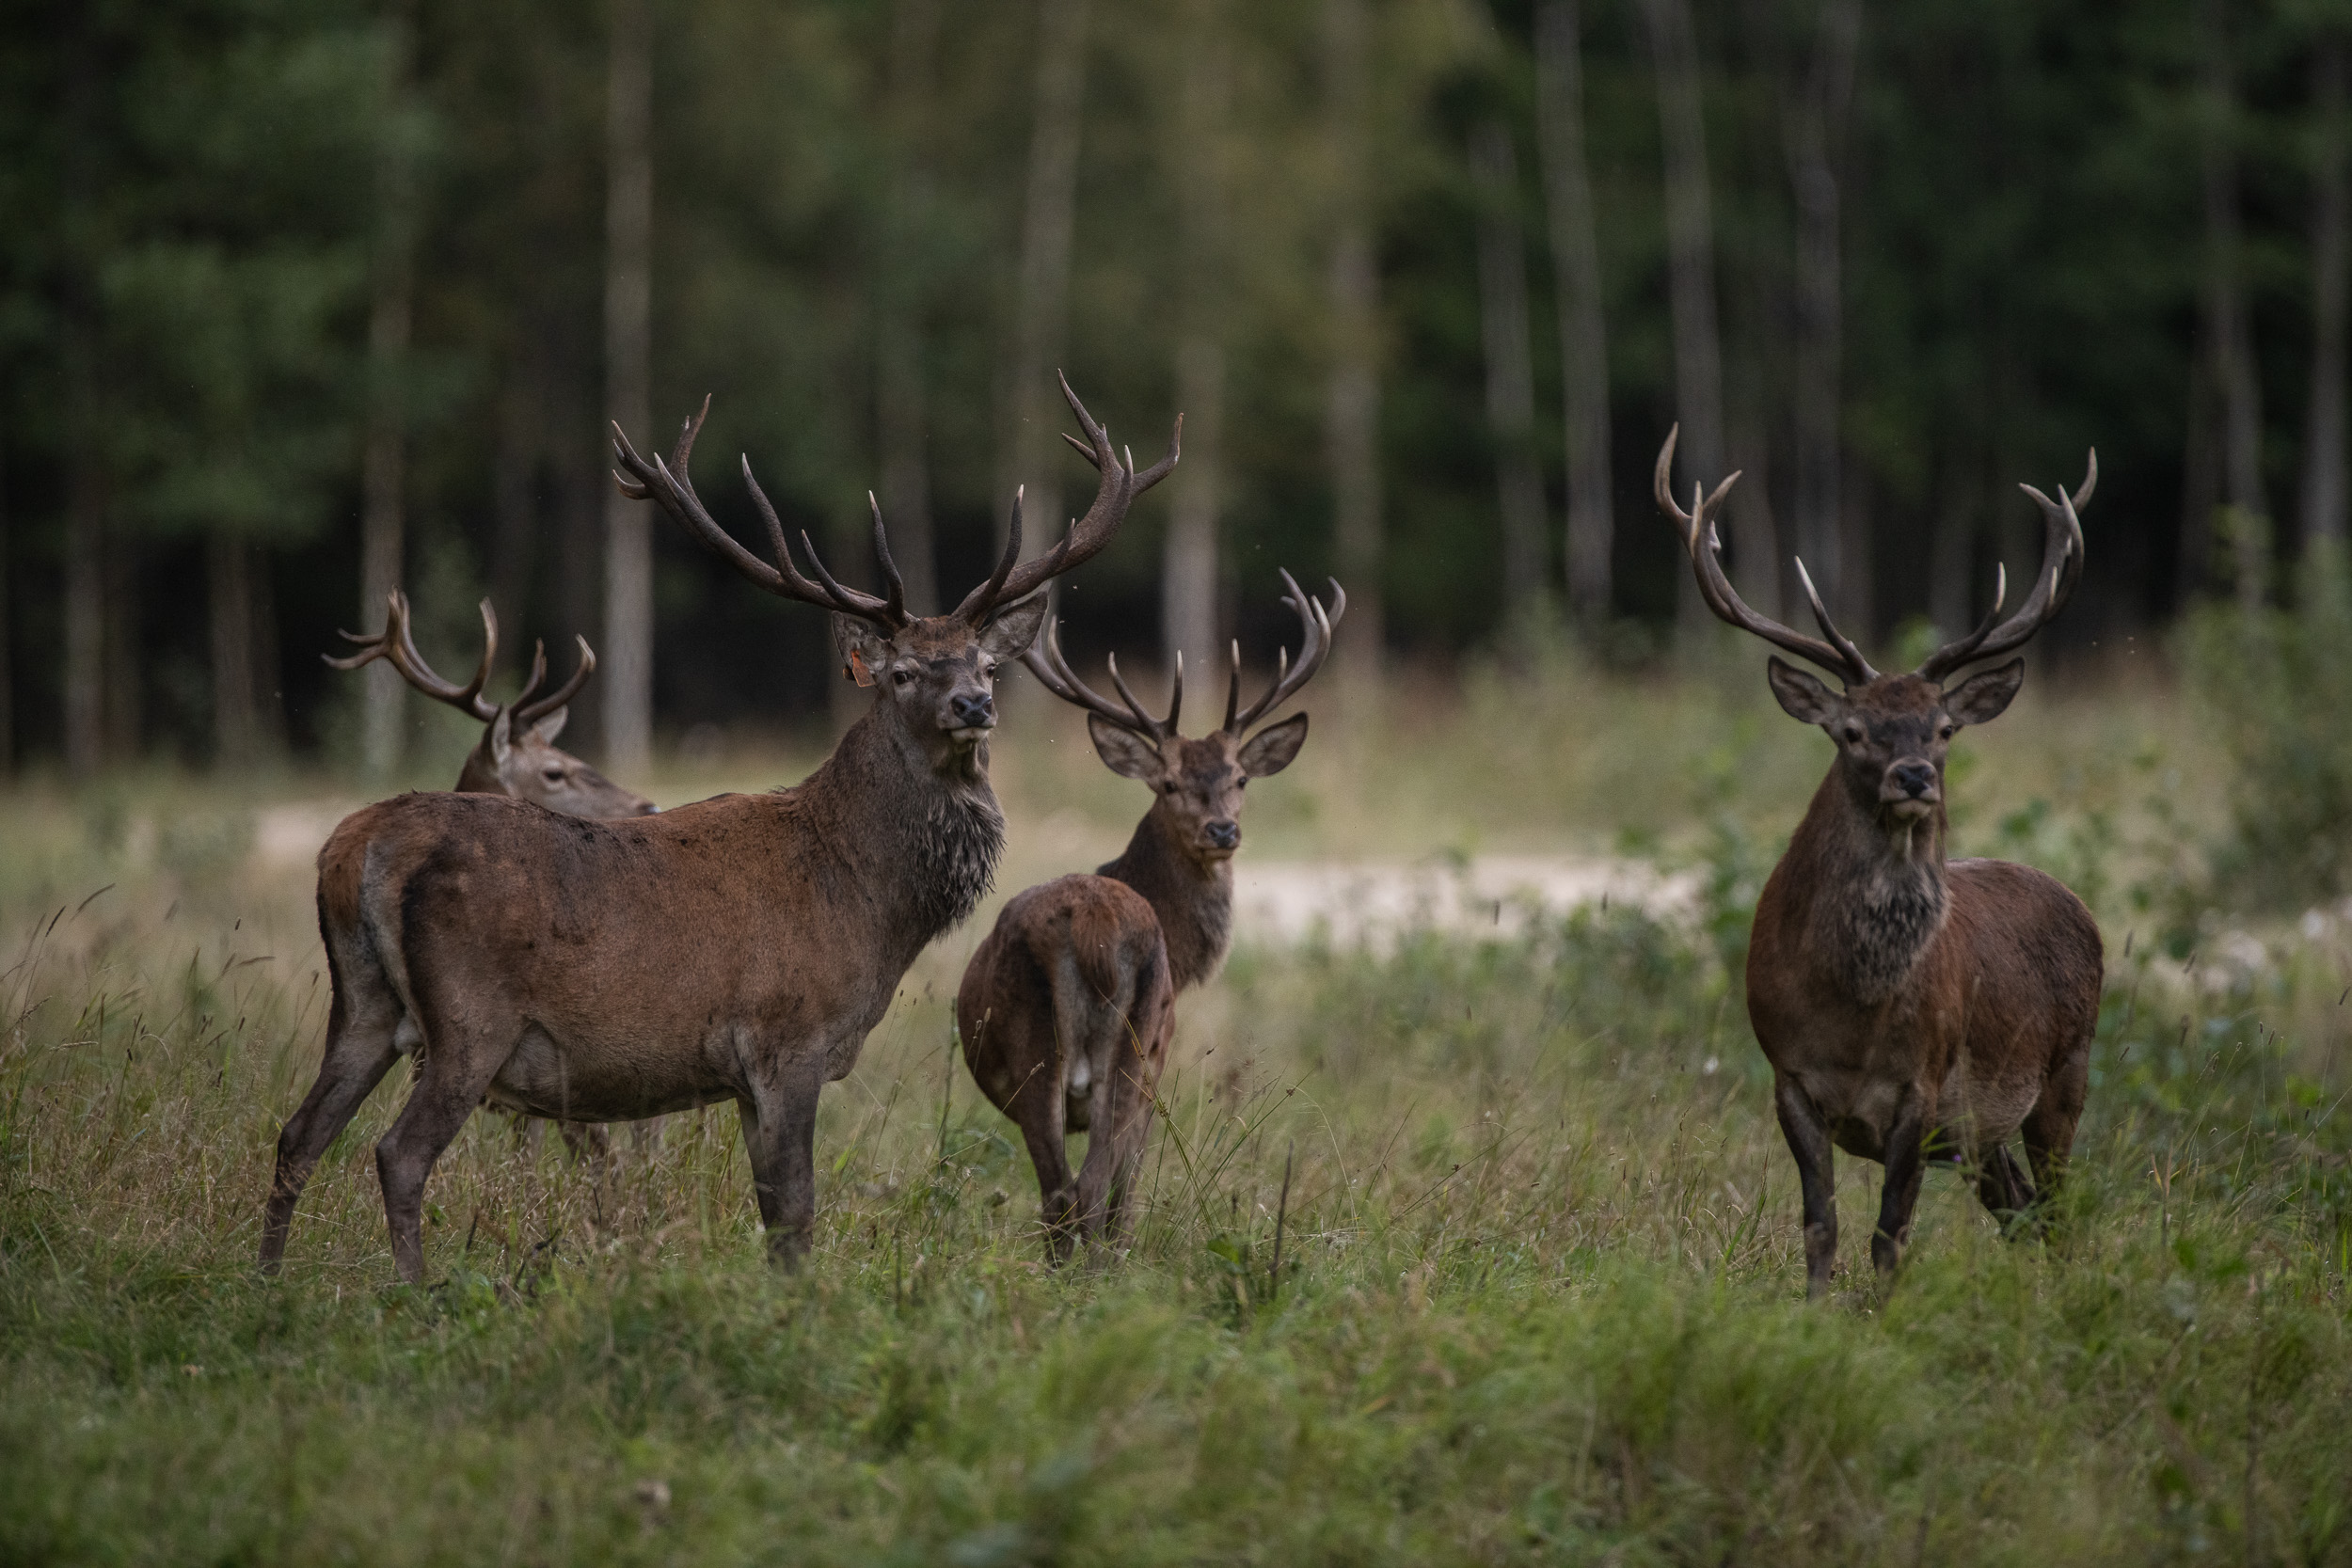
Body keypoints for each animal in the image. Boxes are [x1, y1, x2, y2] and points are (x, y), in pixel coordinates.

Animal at [955, 571, 1345, 1259]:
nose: (1222, 830)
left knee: (1061, 1193)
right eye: (1167, 783)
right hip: (1124, 1051)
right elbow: (1124, 1187)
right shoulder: (1161, 1060)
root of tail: (1085, 925)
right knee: (1089, 1189)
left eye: (1240, 777)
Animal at [1665, 430, 2107, 1297]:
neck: (1854, 1013)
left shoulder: (1923, 1089)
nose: (1914, 778)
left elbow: (1888, 1233)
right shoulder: (1790, 1078)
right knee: (2022, 1210)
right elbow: (1820, 1224)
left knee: (2059, 1211)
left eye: (1943, 728)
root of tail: (2081, 907)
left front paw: (1884, 1314)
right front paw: (1811, 1310)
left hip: (2065, 1070)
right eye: (1853, 730)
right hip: (1984, 1132)